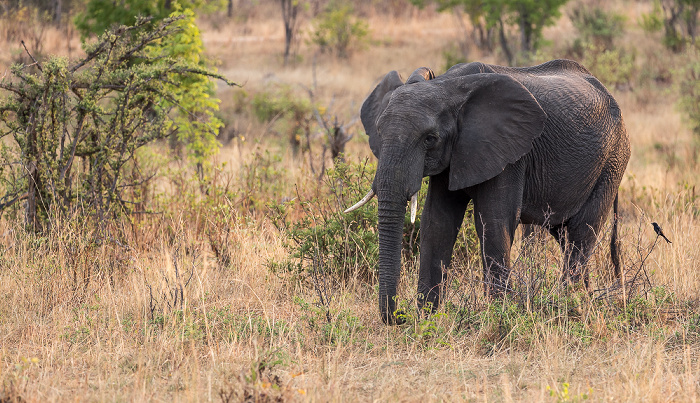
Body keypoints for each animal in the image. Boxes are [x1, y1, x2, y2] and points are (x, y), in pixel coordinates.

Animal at [348, 60, 632, 326]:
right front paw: (427, 321)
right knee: (565, 236)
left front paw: (500, 317)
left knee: (581, 234)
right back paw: (584, 303)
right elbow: (438, 223)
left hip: (612, 161)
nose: (400, 316)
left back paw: (570, 308)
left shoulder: (511, 153)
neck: (446, 86)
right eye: (379, 132)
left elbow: (494, 223)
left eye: (430, 139)